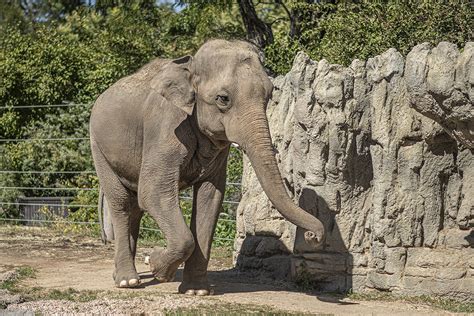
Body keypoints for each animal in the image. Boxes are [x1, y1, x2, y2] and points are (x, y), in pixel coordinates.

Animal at [89, 40, 326, 296]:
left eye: (269, 94)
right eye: (223, 98)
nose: (314, 236)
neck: (190, 66)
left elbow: (210, 198)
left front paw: (196, 291)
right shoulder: (165, 127)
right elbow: (153, 192)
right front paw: (156, 265)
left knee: (135, 207)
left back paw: (123, 276)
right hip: (98, 147)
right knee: (122, 202)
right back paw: (128, 282)